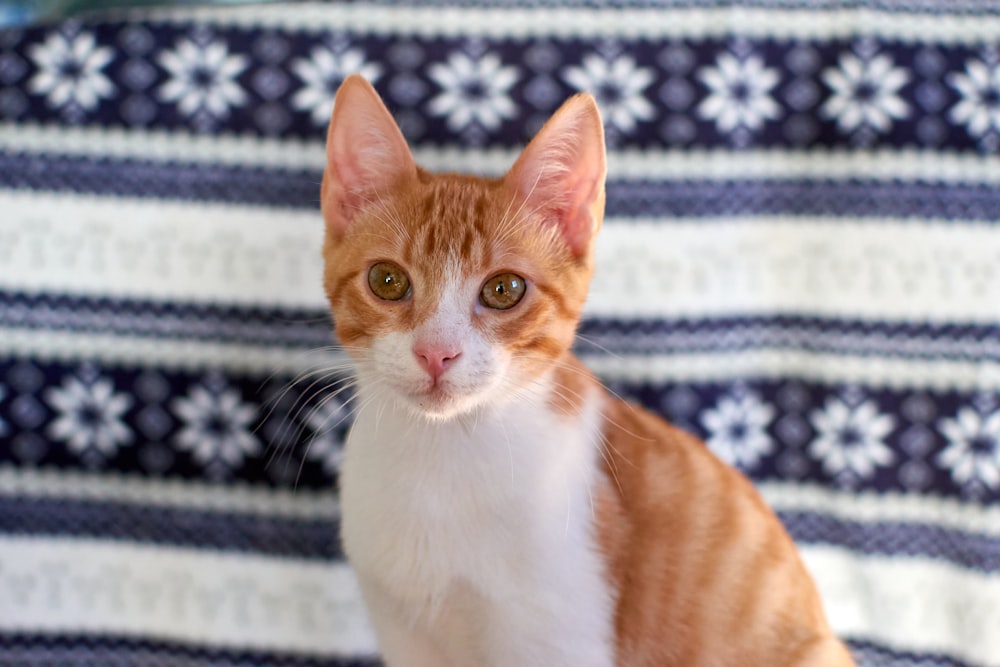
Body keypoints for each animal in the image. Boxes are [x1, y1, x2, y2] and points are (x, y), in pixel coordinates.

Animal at [320, 74, 852, 667]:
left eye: (504, 289)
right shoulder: (405, 637)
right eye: (387, 280)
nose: (437, 352)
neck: (444, 456)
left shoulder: (560, 636)